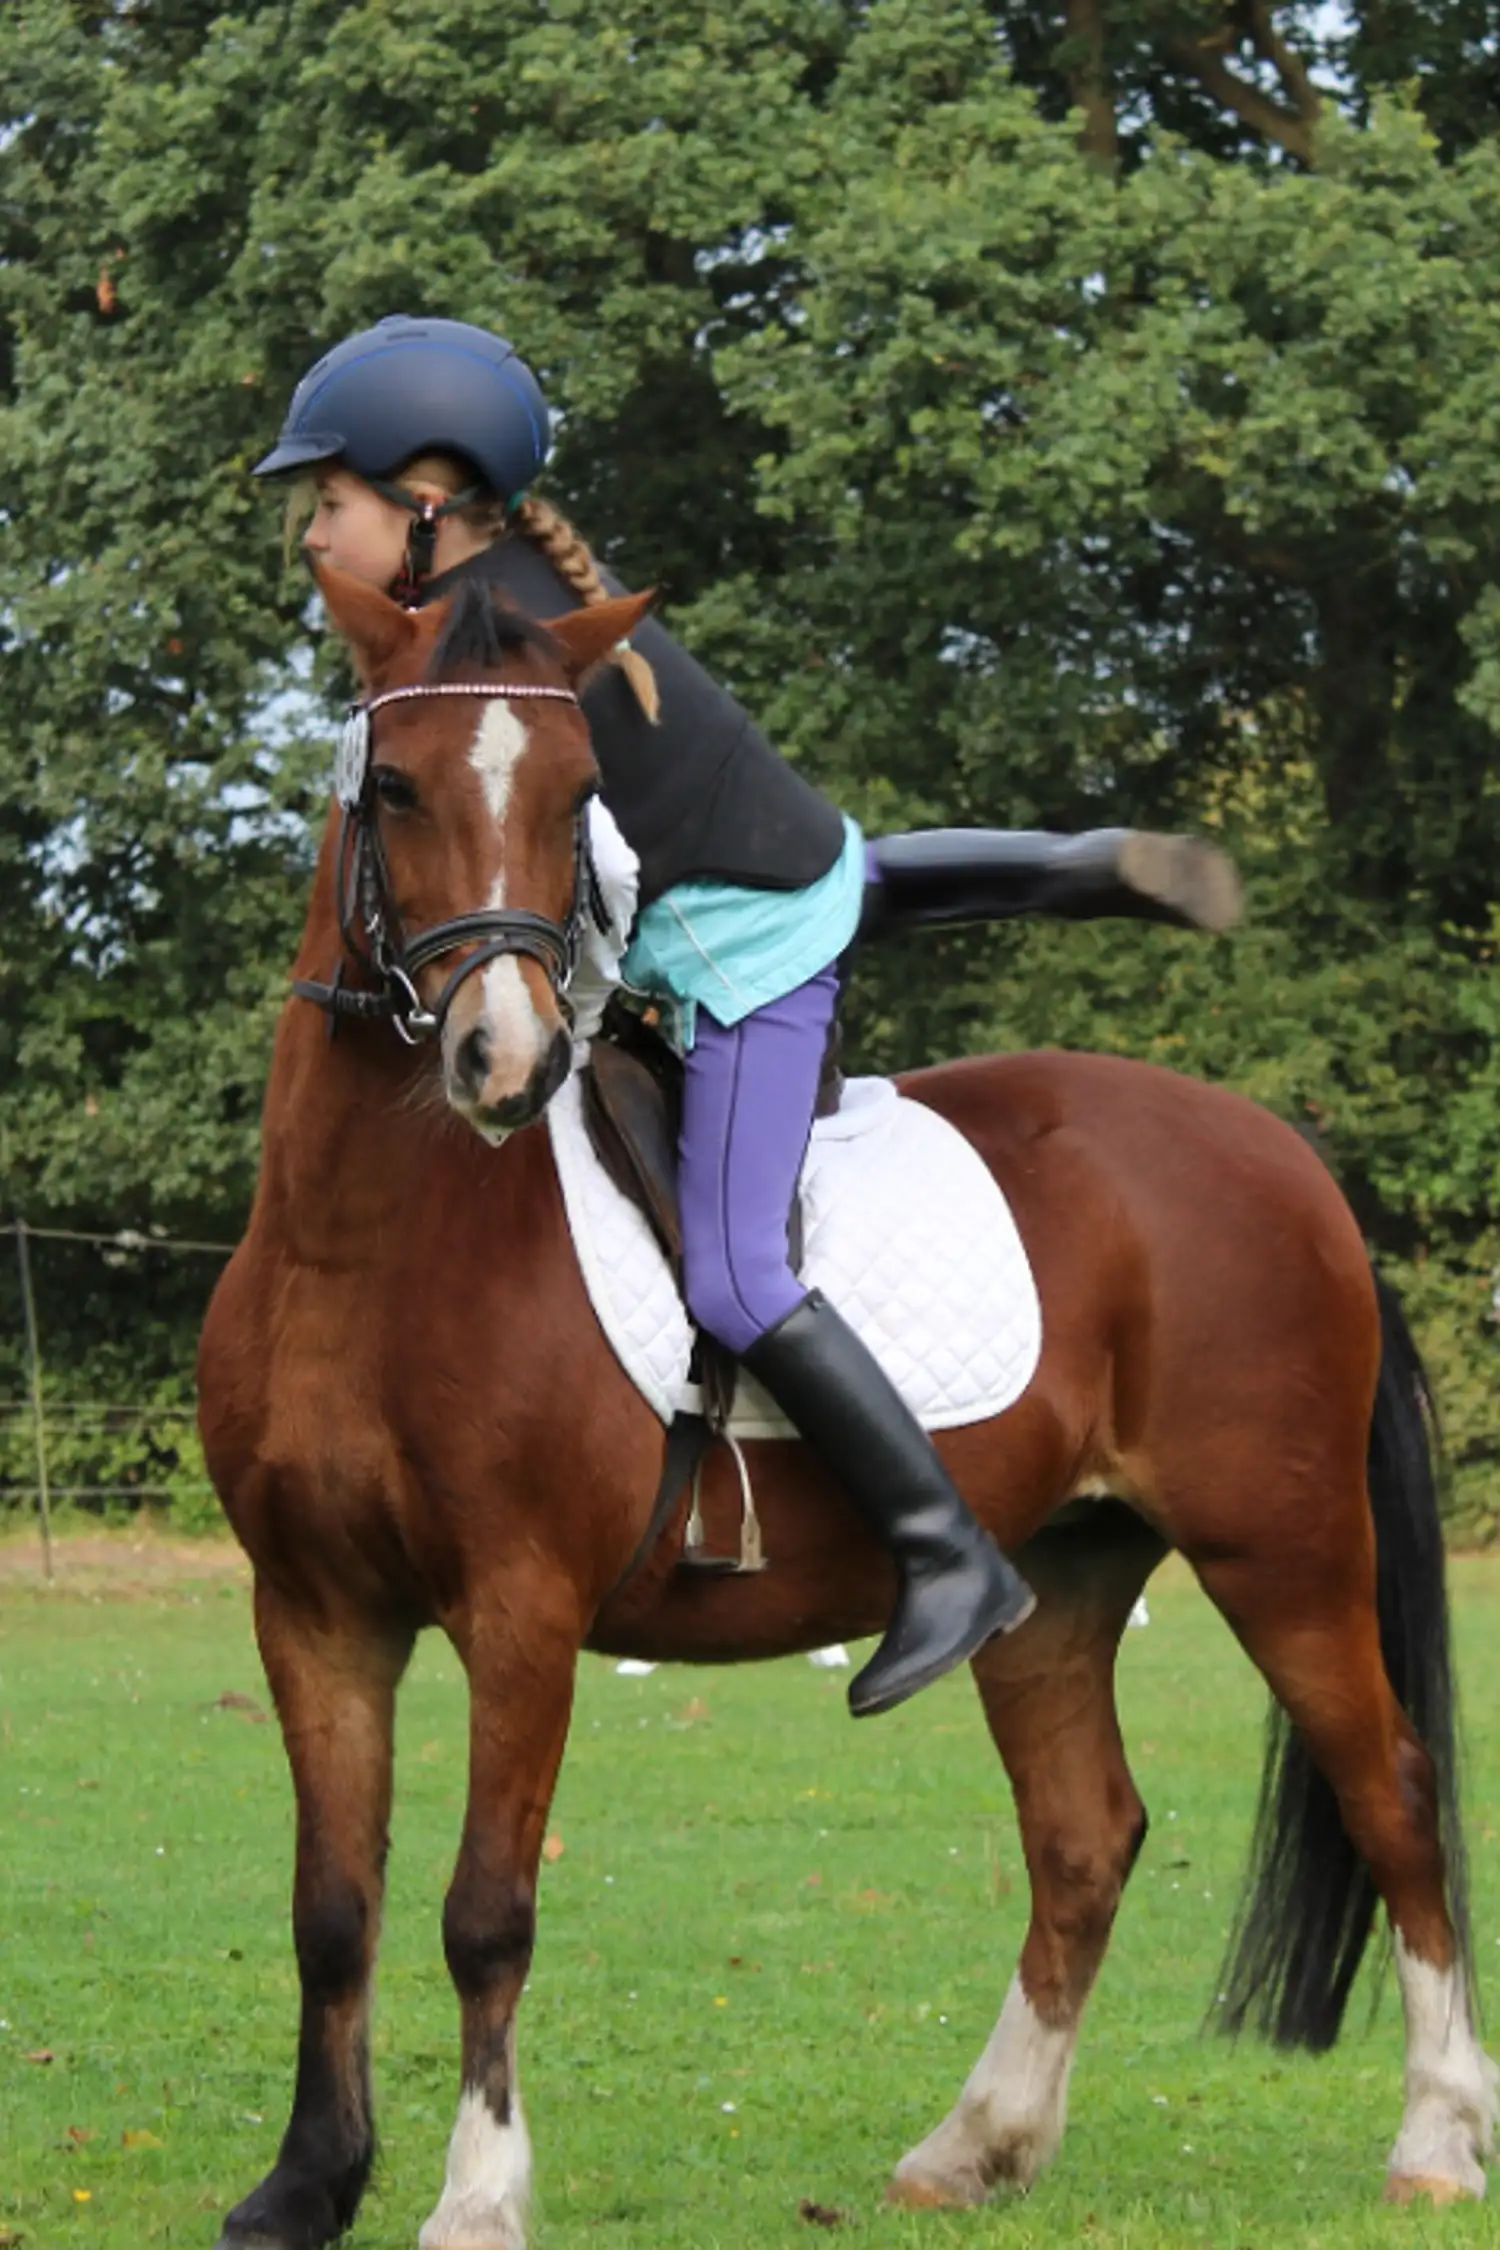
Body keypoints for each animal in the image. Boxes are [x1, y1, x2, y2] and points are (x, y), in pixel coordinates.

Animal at [197, 560, 1496, 2250]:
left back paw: (1437, 2136)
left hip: (1284, 1549)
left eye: (576, 794)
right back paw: (977, 2144)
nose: (507, 1055)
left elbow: (486, 1910)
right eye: (399, 785)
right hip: (1064, 1576)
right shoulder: (315, 1609)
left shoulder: (519, 1609)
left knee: (1390, 1791)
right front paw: (305, 2183)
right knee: (1085, 1835)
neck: (366, 1242)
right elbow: (330, 1906)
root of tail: (1284, 1154)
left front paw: (477, 2196)